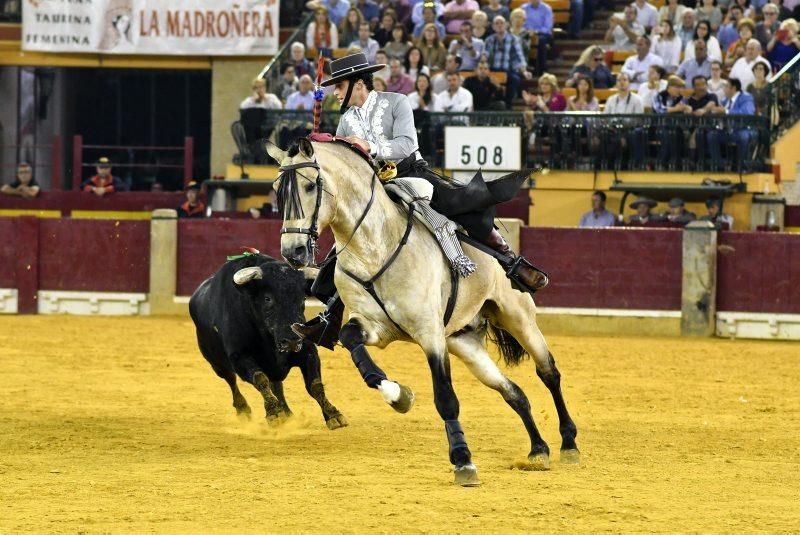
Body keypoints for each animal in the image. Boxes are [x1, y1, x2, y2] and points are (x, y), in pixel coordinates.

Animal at [190, 255, 346, 432]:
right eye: (267, 298)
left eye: (303, 298)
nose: (292, 341)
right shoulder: (239, 357)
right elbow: (260, 379)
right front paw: (274, 414)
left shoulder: (308, 351)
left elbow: (315, 385)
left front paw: (333, 415)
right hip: (217, 364)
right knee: (231, 381)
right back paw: (244, 409)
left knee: (276, 385)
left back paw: (286, 413)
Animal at [266, 137, 580, 486]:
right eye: (277, 189)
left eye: (310, 186)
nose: (292, 251)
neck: (374, 248)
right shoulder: (375, 327)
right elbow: (351, 340)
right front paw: (397, 395)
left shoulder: (429, 333)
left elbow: (445, 398)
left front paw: (463, 461)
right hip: (464, 342)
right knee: (513, 391)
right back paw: (538, 449)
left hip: (518, 317)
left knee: (548, 372)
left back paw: (568, 442)